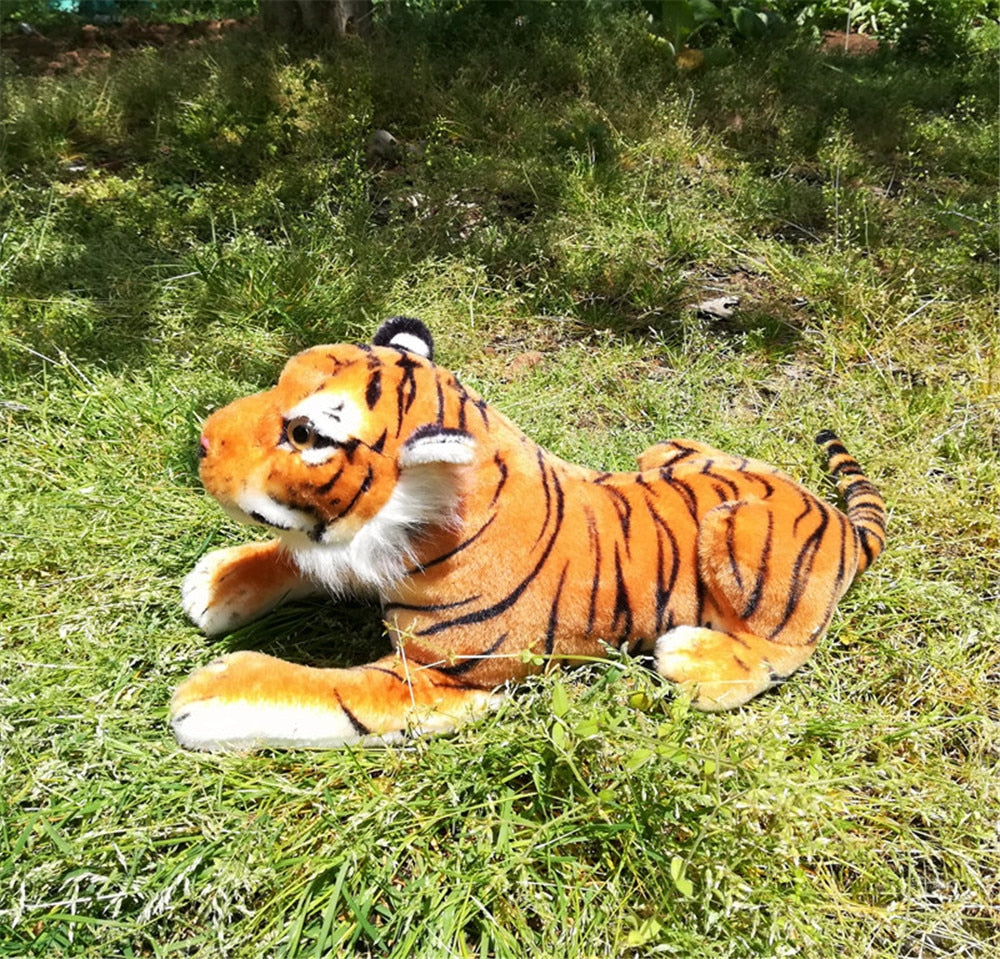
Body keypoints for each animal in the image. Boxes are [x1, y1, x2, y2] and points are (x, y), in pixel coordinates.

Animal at [170, 316, 886, 752]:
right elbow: (301, 553)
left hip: (735, 533)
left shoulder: (440, 678)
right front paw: (217, 582)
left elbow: (329, 691)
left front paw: (209, 694)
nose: (200, 440)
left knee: (783, 648)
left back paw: (695, 659)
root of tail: (837, 517)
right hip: (667, 451)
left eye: (305, 434)